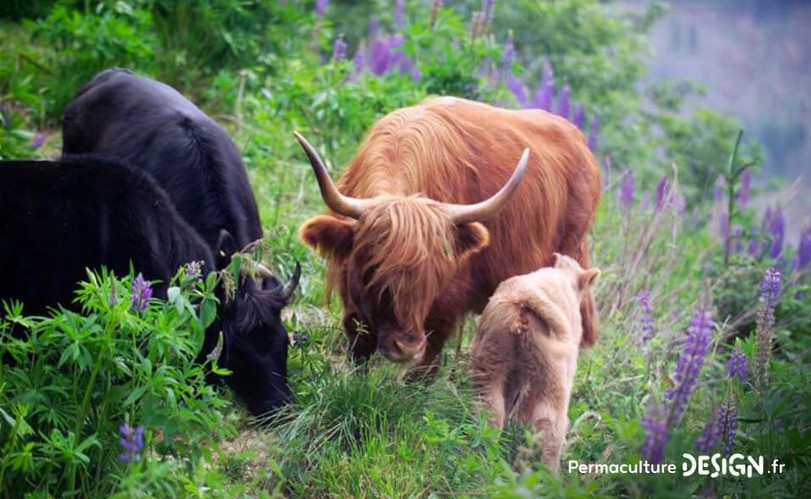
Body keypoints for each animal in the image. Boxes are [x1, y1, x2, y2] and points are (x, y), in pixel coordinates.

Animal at [296, 96, 601, 374]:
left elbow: (430, 356)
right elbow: (359, 342)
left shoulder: (450, 296)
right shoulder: (349, 282)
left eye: (434, 276)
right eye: (374, 270)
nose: (405, 347)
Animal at [471, 253, 600, 473]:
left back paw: (486, 456)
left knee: (489, 406)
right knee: (549, 424)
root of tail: (524, 296)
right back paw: (550, 475)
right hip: (551, 373)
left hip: (491, 354)